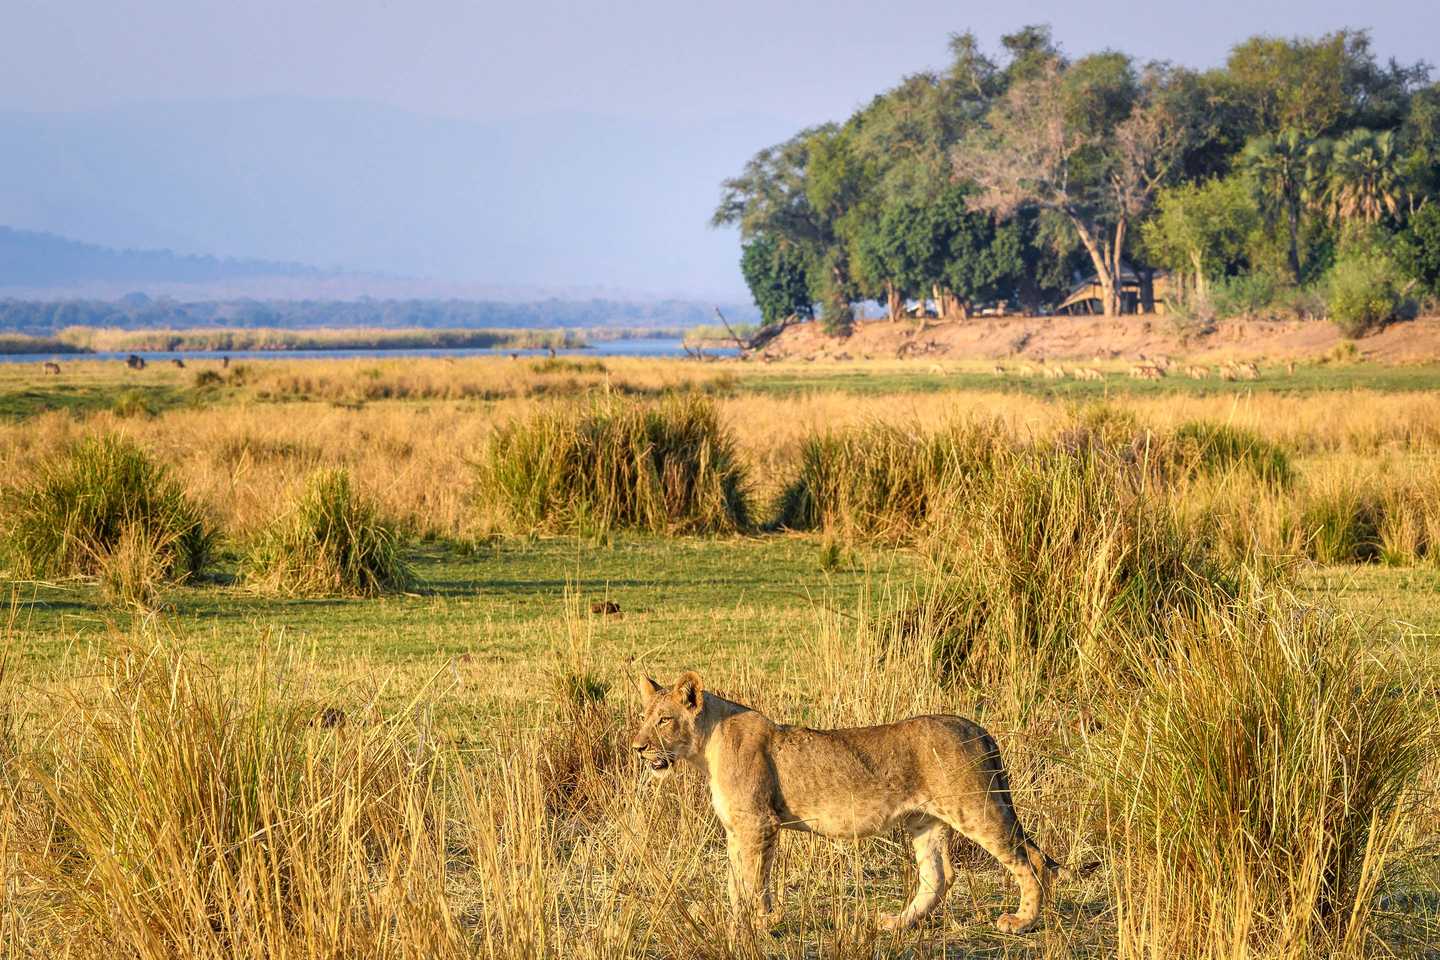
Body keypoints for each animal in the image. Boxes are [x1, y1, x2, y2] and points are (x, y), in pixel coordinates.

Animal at [631, 672, 1060, 935]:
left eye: (664, 720)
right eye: (644, 717)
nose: (637, 747)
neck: (705, 748)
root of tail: (978, 728)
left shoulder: (758, 822)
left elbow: (753, 881)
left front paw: (753, 926)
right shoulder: (738, 829)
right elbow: (737, 881)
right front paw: (739, 923)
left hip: (976, 808)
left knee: (1033, 860)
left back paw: (1022, 921)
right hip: (925, 820)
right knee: (938, 876)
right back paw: (898, 923)